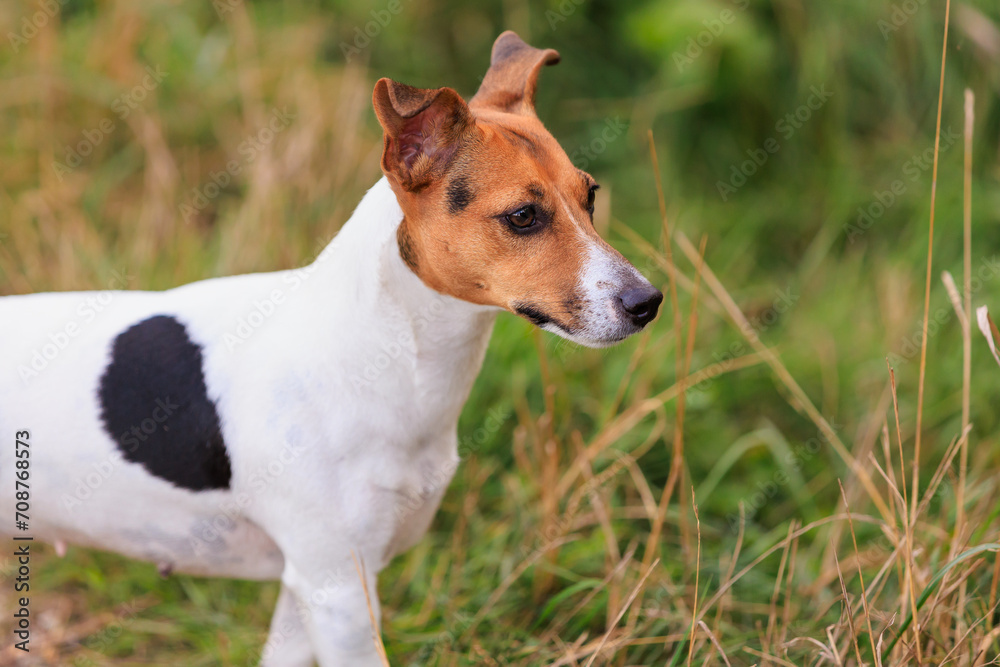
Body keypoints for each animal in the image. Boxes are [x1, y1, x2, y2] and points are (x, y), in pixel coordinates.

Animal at [1, 32, 664, 667]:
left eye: (590, 196)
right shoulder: (338, 589)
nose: (648, 302)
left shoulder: (311, 591)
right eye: (523, 216)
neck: (376, 352)